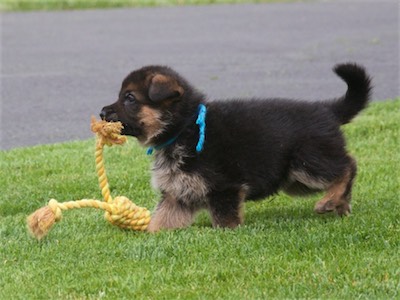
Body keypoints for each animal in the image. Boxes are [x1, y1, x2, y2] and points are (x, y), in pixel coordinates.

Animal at [100, 63, 372, 232]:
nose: (102, 112)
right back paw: (341, 204)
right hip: (295, 179)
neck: (186, 127)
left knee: (348, 166)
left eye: (130, 98)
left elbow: (224, 221)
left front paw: (228, 234)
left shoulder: (224, 188)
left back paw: (330, 200)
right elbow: (159, 223)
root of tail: (327, 110)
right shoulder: (177, 195)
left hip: (307, 161)